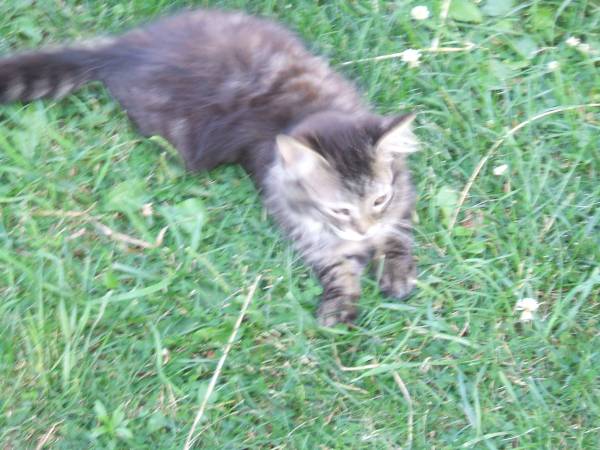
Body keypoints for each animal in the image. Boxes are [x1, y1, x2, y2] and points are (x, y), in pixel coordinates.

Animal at [0, 8, 418, 326]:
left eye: (378, 200)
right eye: (340, 210)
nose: (365, 229)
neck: (307, 111)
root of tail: (123, 51)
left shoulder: (400, 203)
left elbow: (397, 236)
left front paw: (395, 272)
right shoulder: (307, 232)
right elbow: (339, 269)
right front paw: (339, 307)